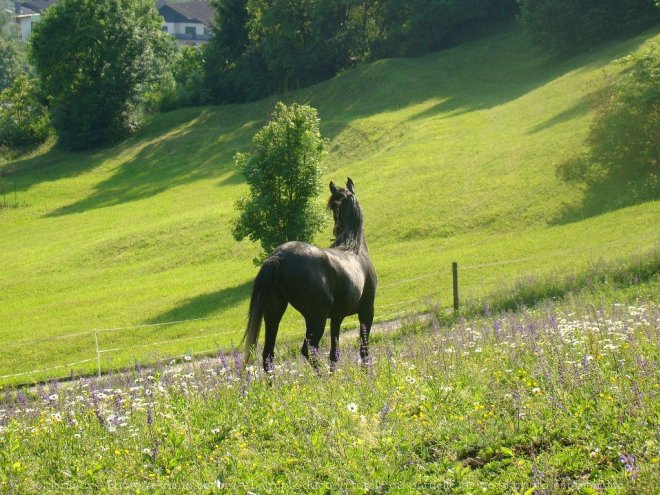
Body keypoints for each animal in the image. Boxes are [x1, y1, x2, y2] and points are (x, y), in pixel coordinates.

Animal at [242, 178, 376, 372]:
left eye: (336, 206)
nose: (336, 229)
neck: (353, 247)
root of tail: (278, 256)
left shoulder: (337, 317)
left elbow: (334, 353)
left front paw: (334, 373)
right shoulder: (366, 311)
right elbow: (363, 349)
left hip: (273, 313)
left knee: (268, 355)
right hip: (316, 318)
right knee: (308, 350)